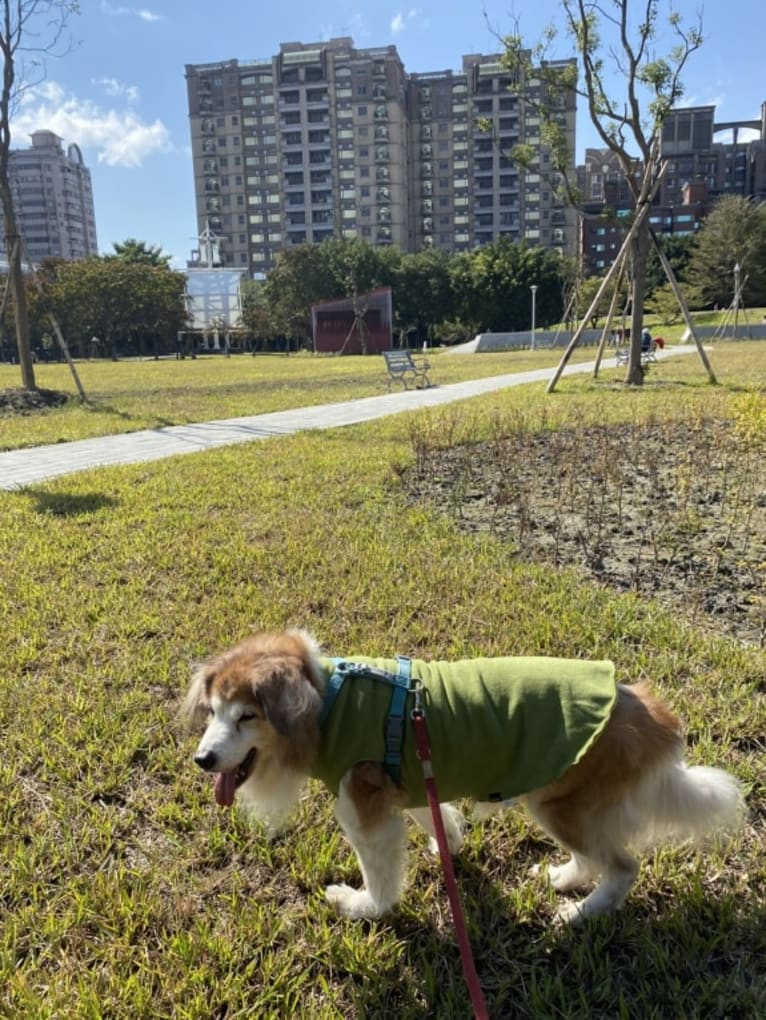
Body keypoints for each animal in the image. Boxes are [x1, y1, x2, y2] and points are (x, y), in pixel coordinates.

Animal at [182, 628, 746, 926]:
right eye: (213, 712)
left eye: (246, 716)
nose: (204, 760)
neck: (329, 702)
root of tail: (644, 712)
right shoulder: (406, 775)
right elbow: (430, 815)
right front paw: (447, 842)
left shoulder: (365, 812)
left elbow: (379, 874)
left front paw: (364, 907)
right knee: (593, 858)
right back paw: (561, 880)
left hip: (559, 803)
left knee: (623, 866)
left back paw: (580, 913)